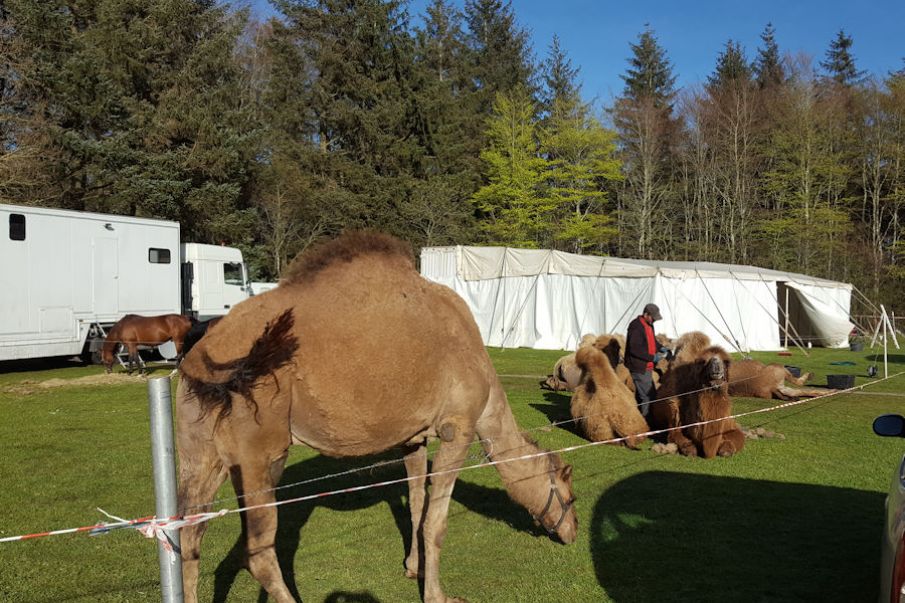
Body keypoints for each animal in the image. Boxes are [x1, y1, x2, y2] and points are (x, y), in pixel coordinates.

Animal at [175, 232, 580, 603]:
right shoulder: (458, 428)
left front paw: (413, 568)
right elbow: (436, 522)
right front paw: (438, 595)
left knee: (188, 534)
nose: (572, 532)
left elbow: (416, 503)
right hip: (261, 450)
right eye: (570, 497)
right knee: (257, 551)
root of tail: (200, 359)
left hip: (202, 451)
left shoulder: (413, 437)